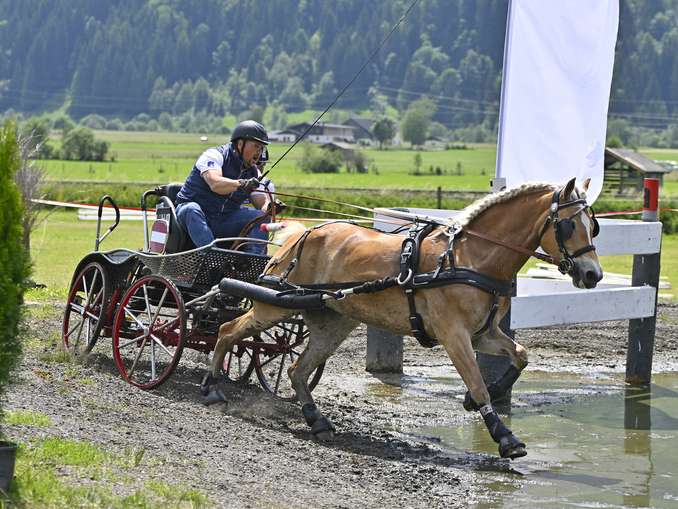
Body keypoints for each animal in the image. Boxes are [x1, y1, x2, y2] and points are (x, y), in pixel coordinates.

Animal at [203, 180, 604, 460]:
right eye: (569, 226)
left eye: (594, 225)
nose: (593, 275)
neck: (470, 258)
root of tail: (302, 233)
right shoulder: (454, 336)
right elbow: (477, 383)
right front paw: (505, 437)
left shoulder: (483, 334)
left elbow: (520, 356)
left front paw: (485, 397)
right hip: (275, 306)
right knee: (228, 330)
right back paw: (212, 387)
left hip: (333, 321)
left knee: (297, 370)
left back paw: (317, 421)